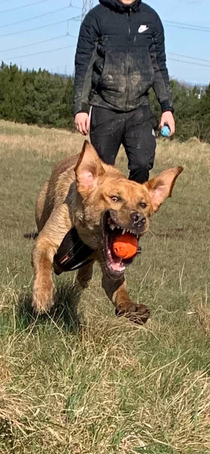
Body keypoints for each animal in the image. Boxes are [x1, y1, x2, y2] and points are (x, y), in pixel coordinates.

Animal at [32, 141, 183, 322]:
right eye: (115, 198)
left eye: (143, 205)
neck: (91, 240)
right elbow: (43, 262)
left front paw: (131, 307)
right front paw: (43, 295)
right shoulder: (47, 239)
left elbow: (119, 288)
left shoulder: (111, 270)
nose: (139, 218)